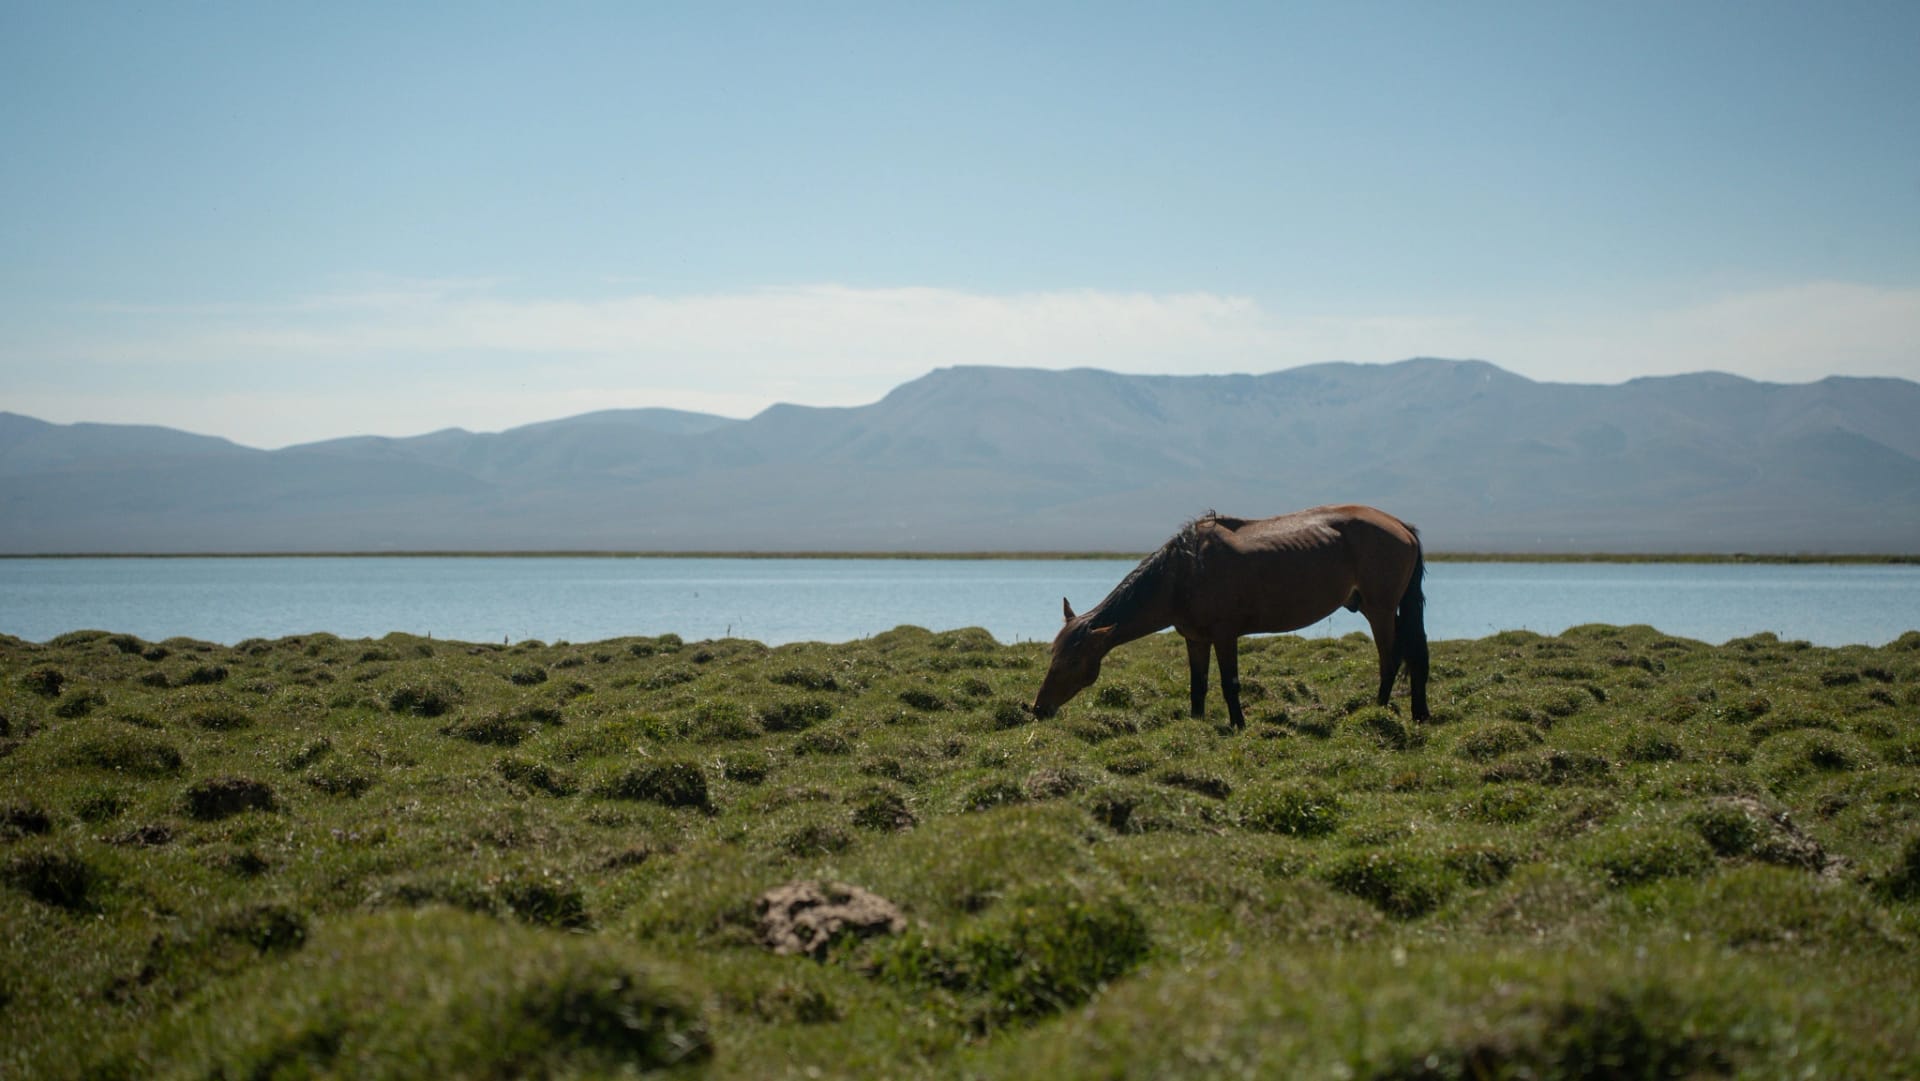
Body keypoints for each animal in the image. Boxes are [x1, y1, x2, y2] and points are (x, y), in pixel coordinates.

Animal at [1031, 504, 1429, 728]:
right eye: (1053, 654)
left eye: (1075, 661)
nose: (1038, 708)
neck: (1184, 573)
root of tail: (1401, 526)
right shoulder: (1195, 638)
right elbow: (1198, 685)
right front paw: (1196, 721)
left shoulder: (1225, 635)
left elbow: (1229, 683)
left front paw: (1238, 723)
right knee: (1414, 656)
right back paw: (1418, 712)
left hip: (1379, 609)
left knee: (1390, 659)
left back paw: (1376, 711)